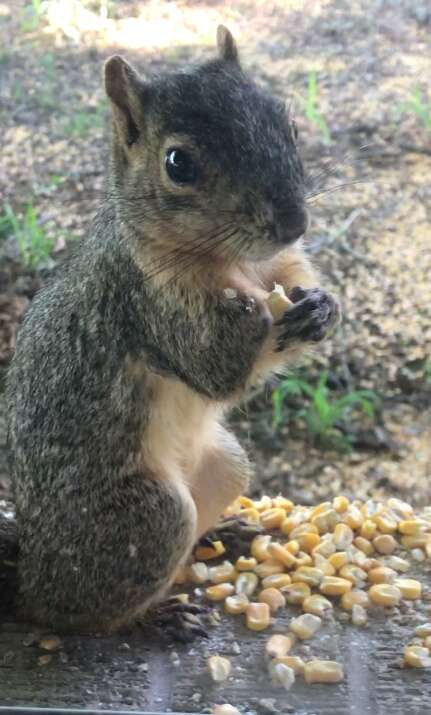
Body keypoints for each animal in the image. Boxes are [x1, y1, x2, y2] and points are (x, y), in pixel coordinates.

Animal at [4, 26, 339, 637]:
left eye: (289, 126)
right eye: (178, 163)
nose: (294, 223)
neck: (233, 264)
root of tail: (32, 570)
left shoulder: (280, 265)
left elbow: (297, 282)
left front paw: (324, 306)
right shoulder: (146, 303)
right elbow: (216, 370)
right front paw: (255, 318)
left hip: (225, 464)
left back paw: (222, 534)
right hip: (146, 519)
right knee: (71, 614)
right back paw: (154, 618)